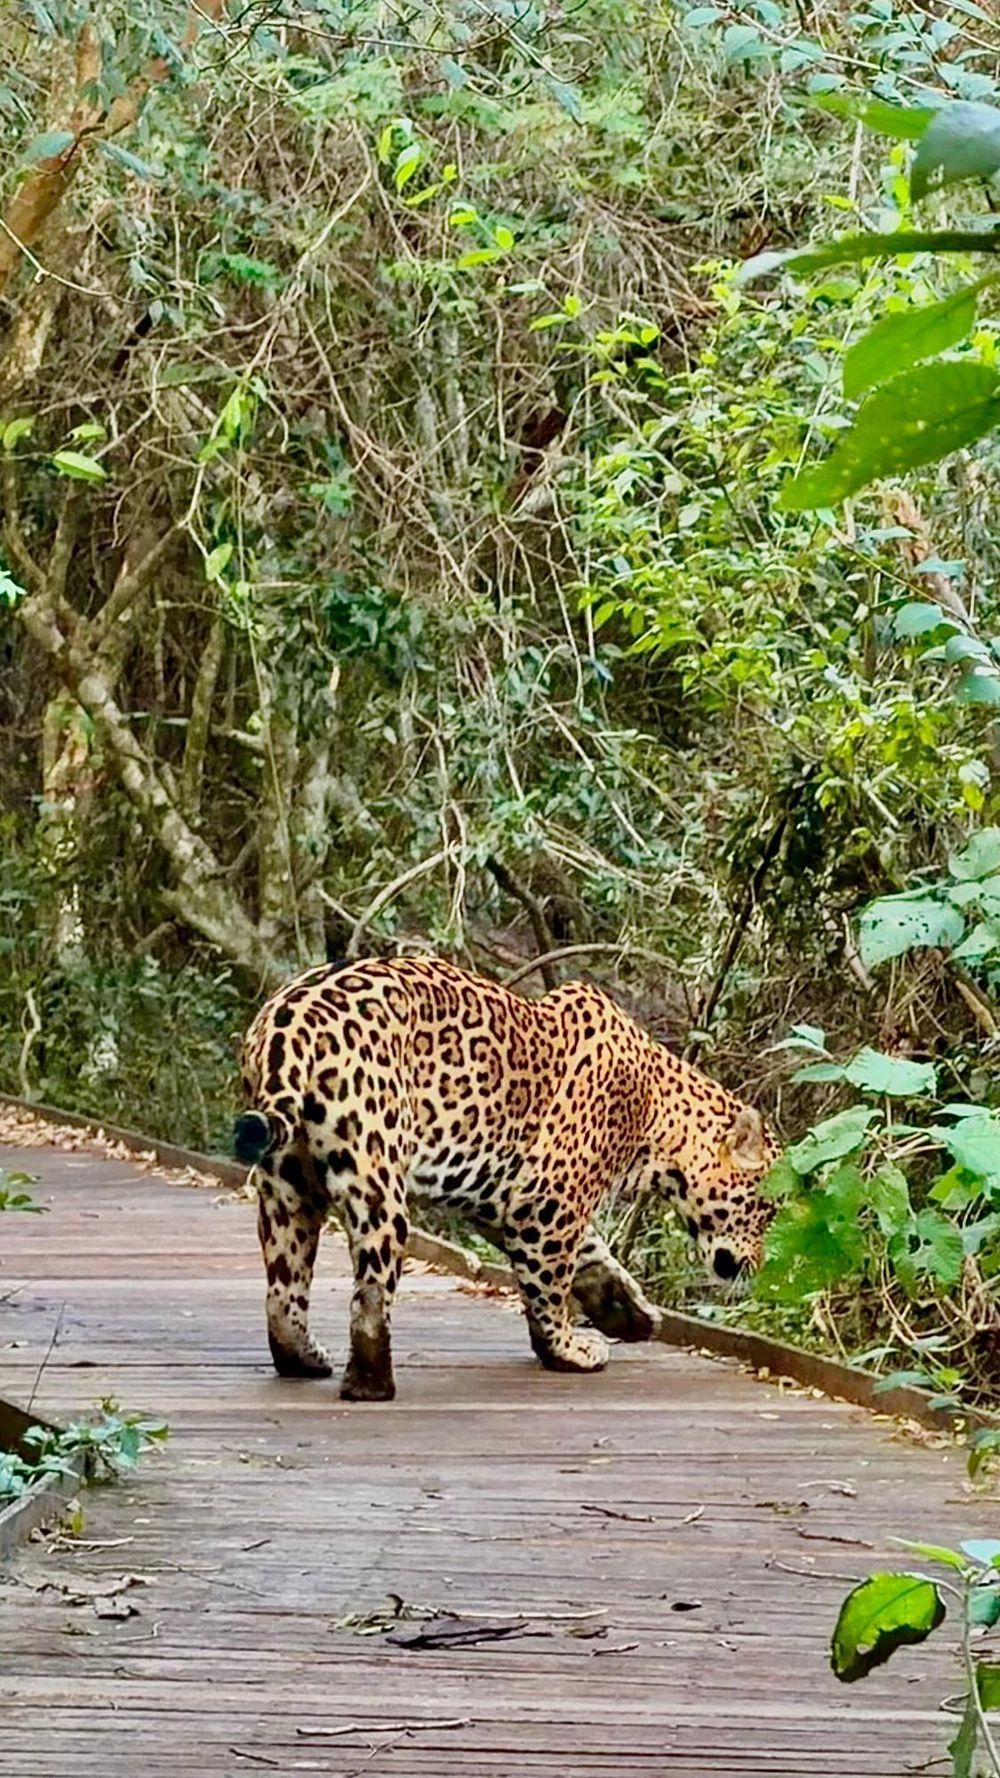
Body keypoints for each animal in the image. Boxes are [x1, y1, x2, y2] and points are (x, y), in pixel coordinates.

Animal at [234, 956, 779, 1402]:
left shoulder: (504, 1199)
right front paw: (566, 1350)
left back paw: (303, 1359)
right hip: (376, 1179)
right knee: (370, 1291)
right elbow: (552, 1286)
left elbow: (593, 1258)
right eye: (765, 1209)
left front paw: (630, 1313)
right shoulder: (546, 1204)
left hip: (288, 1184)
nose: (757, 1265)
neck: (659, 1119)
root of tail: (285, 1027)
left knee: (283, 1288)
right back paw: (371, 1384)